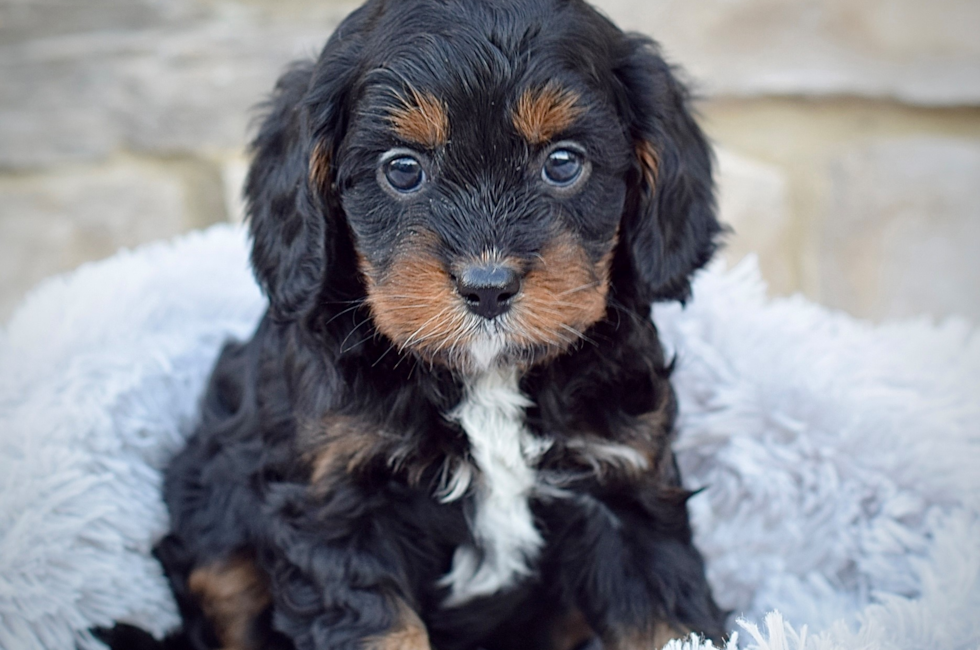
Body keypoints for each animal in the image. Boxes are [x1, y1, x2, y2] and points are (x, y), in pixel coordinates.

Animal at [136, 1, 728, 648]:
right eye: (402, 170)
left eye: (563, 162)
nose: (488, 287)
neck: (487, 379)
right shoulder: (332, 500)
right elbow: (380, 629)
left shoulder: (625, 487)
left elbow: (665, 620)